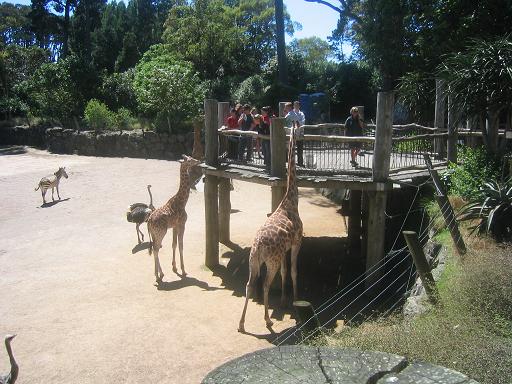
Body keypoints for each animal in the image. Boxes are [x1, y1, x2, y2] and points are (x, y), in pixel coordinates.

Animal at [147, 154, 201, 284]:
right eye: (190, 160)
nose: (199, 160)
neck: (182, 201)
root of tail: (149, 220)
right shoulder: (182, 224)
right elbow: (181, 245)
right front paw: (183, 270)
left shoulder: (174, 226)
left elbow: (174, 244)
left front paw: (174, 267)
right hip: (161, 232)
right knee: (156, 249)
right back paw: (157, 276)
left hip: (154, 234)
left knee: (155, 248)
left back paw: (160, 273)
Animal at [240, 121, 304, 332]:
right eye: (299, 129)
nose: (300, 134)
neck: (291, 201)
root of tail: (258, 245)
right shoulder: (297, 242)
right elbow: (293, 271)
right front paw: (296, 300)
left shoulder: (285, 248)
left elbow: (286, 272)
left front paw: (284, 300)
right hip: (271, 261)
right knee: (266, 285)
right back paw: (268, 321)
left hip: (253, 260)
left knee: (249, 285)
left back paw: (241, 324)